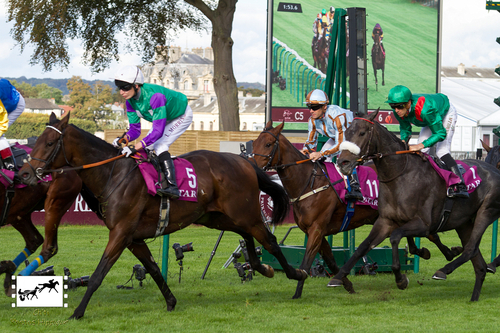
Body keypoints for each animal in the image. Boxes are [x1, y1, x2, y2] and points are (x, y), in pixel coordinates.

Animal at [19, 113, 306, 320]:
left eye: (49, 143)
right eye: (36, 141)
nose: (24, 173)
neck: (114, 175)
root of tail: (245, 162)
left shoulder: (120, 233)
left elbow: (99, 273)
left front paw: (78, 312)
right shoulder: (133, 238)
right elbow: (154, 269)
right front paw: (171, 301)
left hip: (245, 213)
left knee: (269, 240)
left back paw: (296, 274)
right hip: (217, 217)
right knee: (248, 237)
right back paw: (263, 268)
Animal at [252, 121, 462, 298]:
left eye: (269, 144)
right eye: (254, 143)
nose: (253, 165)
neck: (308, 183)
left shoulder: (317, 229)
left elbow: (306, 261)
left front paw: (297, 293)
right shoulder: (317, 231)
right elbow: (330, 261)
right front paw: (346, 284)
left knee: (430, 233)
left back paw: (447, 253)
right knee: (419, 235)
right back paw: (430, 252)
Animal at [330, 111, 500, 300]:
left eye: (362, 133)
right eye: (346, 133)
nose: (343, 163)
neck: (400, 176)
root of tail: (495, 169)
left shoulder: (423, 224)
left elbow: (395, 237)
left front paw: (400, 279)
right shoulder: (385, 221)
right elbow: (363, 246)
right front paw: (338, 276)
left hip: (487, 211)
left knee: (471, 248)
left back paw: (443, 271)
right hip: (464, 223)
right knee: (479, 264)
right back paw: (473, 298)